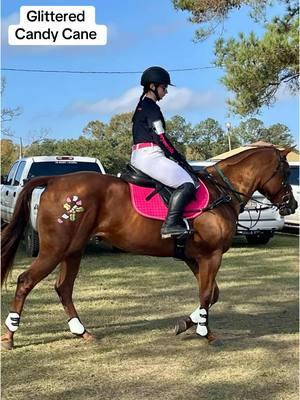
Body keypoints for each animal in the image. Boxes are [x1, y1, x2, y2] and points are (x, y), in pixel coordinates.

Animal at [0, 146, 298, 346]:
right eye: (285, 171)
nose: (291, 205)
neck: (221, 193)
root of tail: (55, 180)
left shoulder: (195, 258)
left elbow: (212, 294)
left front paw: (184, 324)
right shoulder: (211, 256)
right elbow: (206, 295)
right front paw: (205, 332)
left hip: (73, 251)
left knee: (63, 288)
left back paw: (81, 331)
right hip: (56, 249)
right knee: (26, 280)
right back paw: (11, 335)